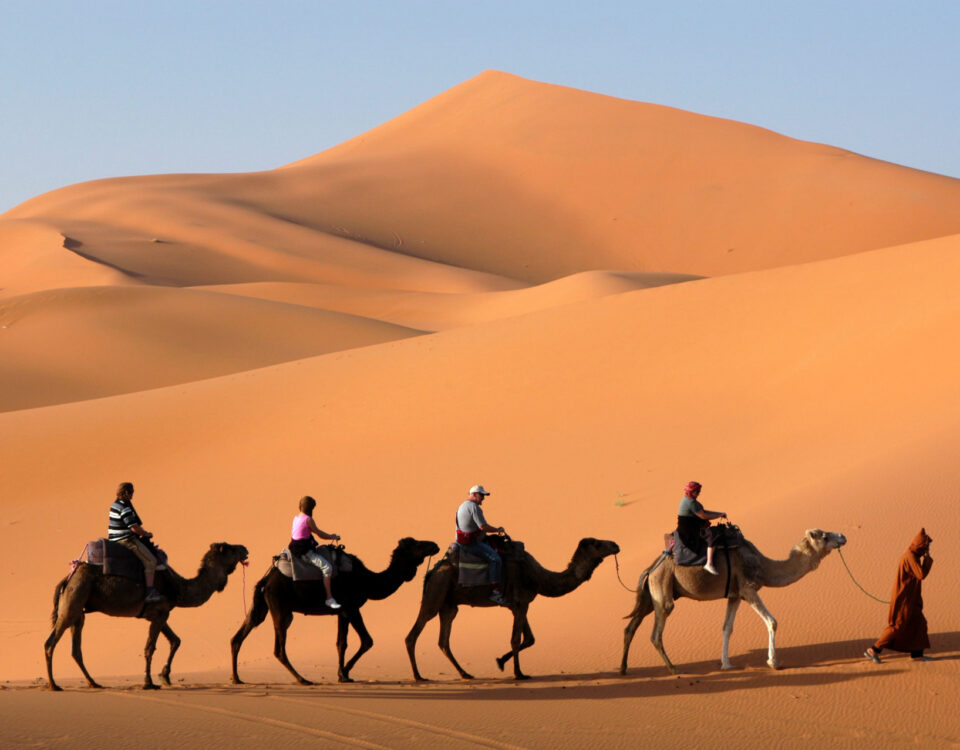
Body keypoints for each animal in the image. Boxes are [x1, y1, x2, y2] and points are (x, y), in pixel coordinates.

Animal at [45, 540, 249, 692]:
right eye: (230, 549)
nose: (245, 548)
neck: (178, 588)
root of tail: (68, 578)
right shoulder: (160, 612)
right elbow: (150, 648)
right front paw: (149, 683)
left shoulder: (160, 614)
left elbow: (176, 640)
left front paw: (165, 676)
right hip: (73, 600)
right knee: (50, 642)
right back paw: (54, 685)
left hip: (79, 610)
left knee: (76, 649)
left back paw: (93, 683)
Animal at [231, 536, 440, 688]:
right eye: (417, 544)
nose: (435, 545)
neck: (368, 581)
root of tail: (266, 580)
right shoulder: (352, 608)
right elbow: (367, 640)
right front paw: (344, 672)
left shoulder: (342, 612)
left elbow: (341, 643)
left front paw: (343, 675)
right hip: (281, 609)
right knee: (279, 649)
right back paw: (303, 679)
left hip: (263, 607)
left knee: (241, 634)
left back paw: (237, 678)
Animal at [406, 536, 620, 684]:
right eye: (597, 544)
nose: (615, 544)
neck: (538, 577)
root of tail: (432, 571)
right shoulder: (520, 603)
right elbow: (516, 639)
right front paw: (519, 673)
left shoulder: (519, 605)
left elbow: (530, 639)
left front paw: (500, 661)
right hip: (436, 593)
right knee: (413, 634)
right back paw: (418, 676)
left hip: (449, 604)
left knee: (443, 640)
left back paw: (465, 673)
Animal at [620, 528, 844, 676]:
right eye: (824, 535)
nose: (843, 536)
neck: (763, 566)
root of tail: (650, 569)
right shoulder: (748, 588)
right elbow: (772, 622)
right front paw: (774, 662)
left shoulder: (735, 595)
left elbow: (727, 628)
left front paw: (727, 665)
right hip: (663, 586)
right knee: (656, 632)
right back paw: (673, 668)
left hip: (651, 595)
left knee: (631, 626)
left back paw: (623, 668)